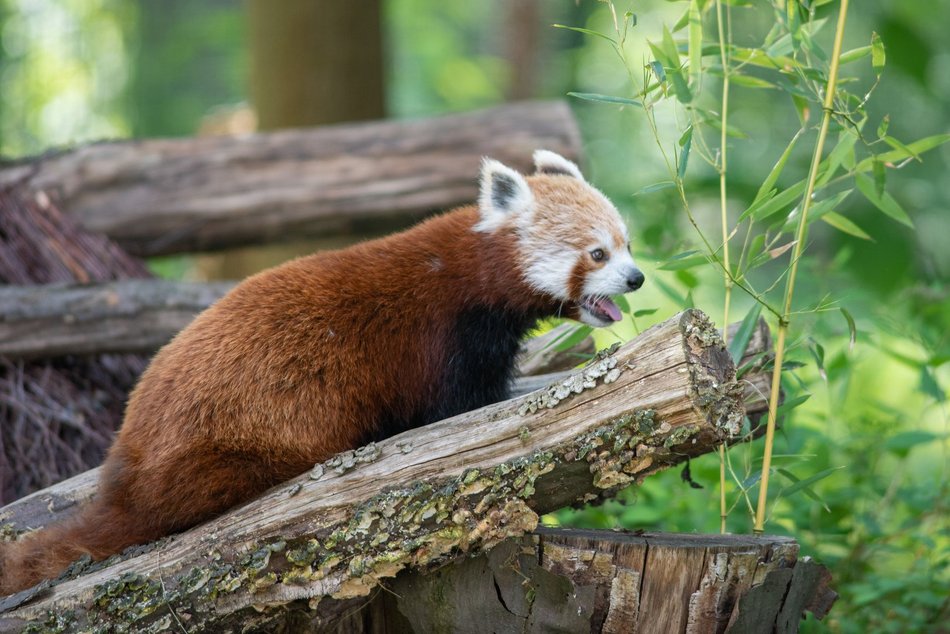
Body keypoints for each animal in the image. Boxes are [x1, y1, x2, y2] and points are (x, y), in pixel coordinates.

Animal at [0, 148, 644, 592]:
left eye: (628, 244)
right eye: (597, 254)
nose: (637, 278)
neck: (474, 271)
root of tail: (127, 470)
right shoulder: (447, 338)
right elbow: (461, 407)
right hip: (237, 440)